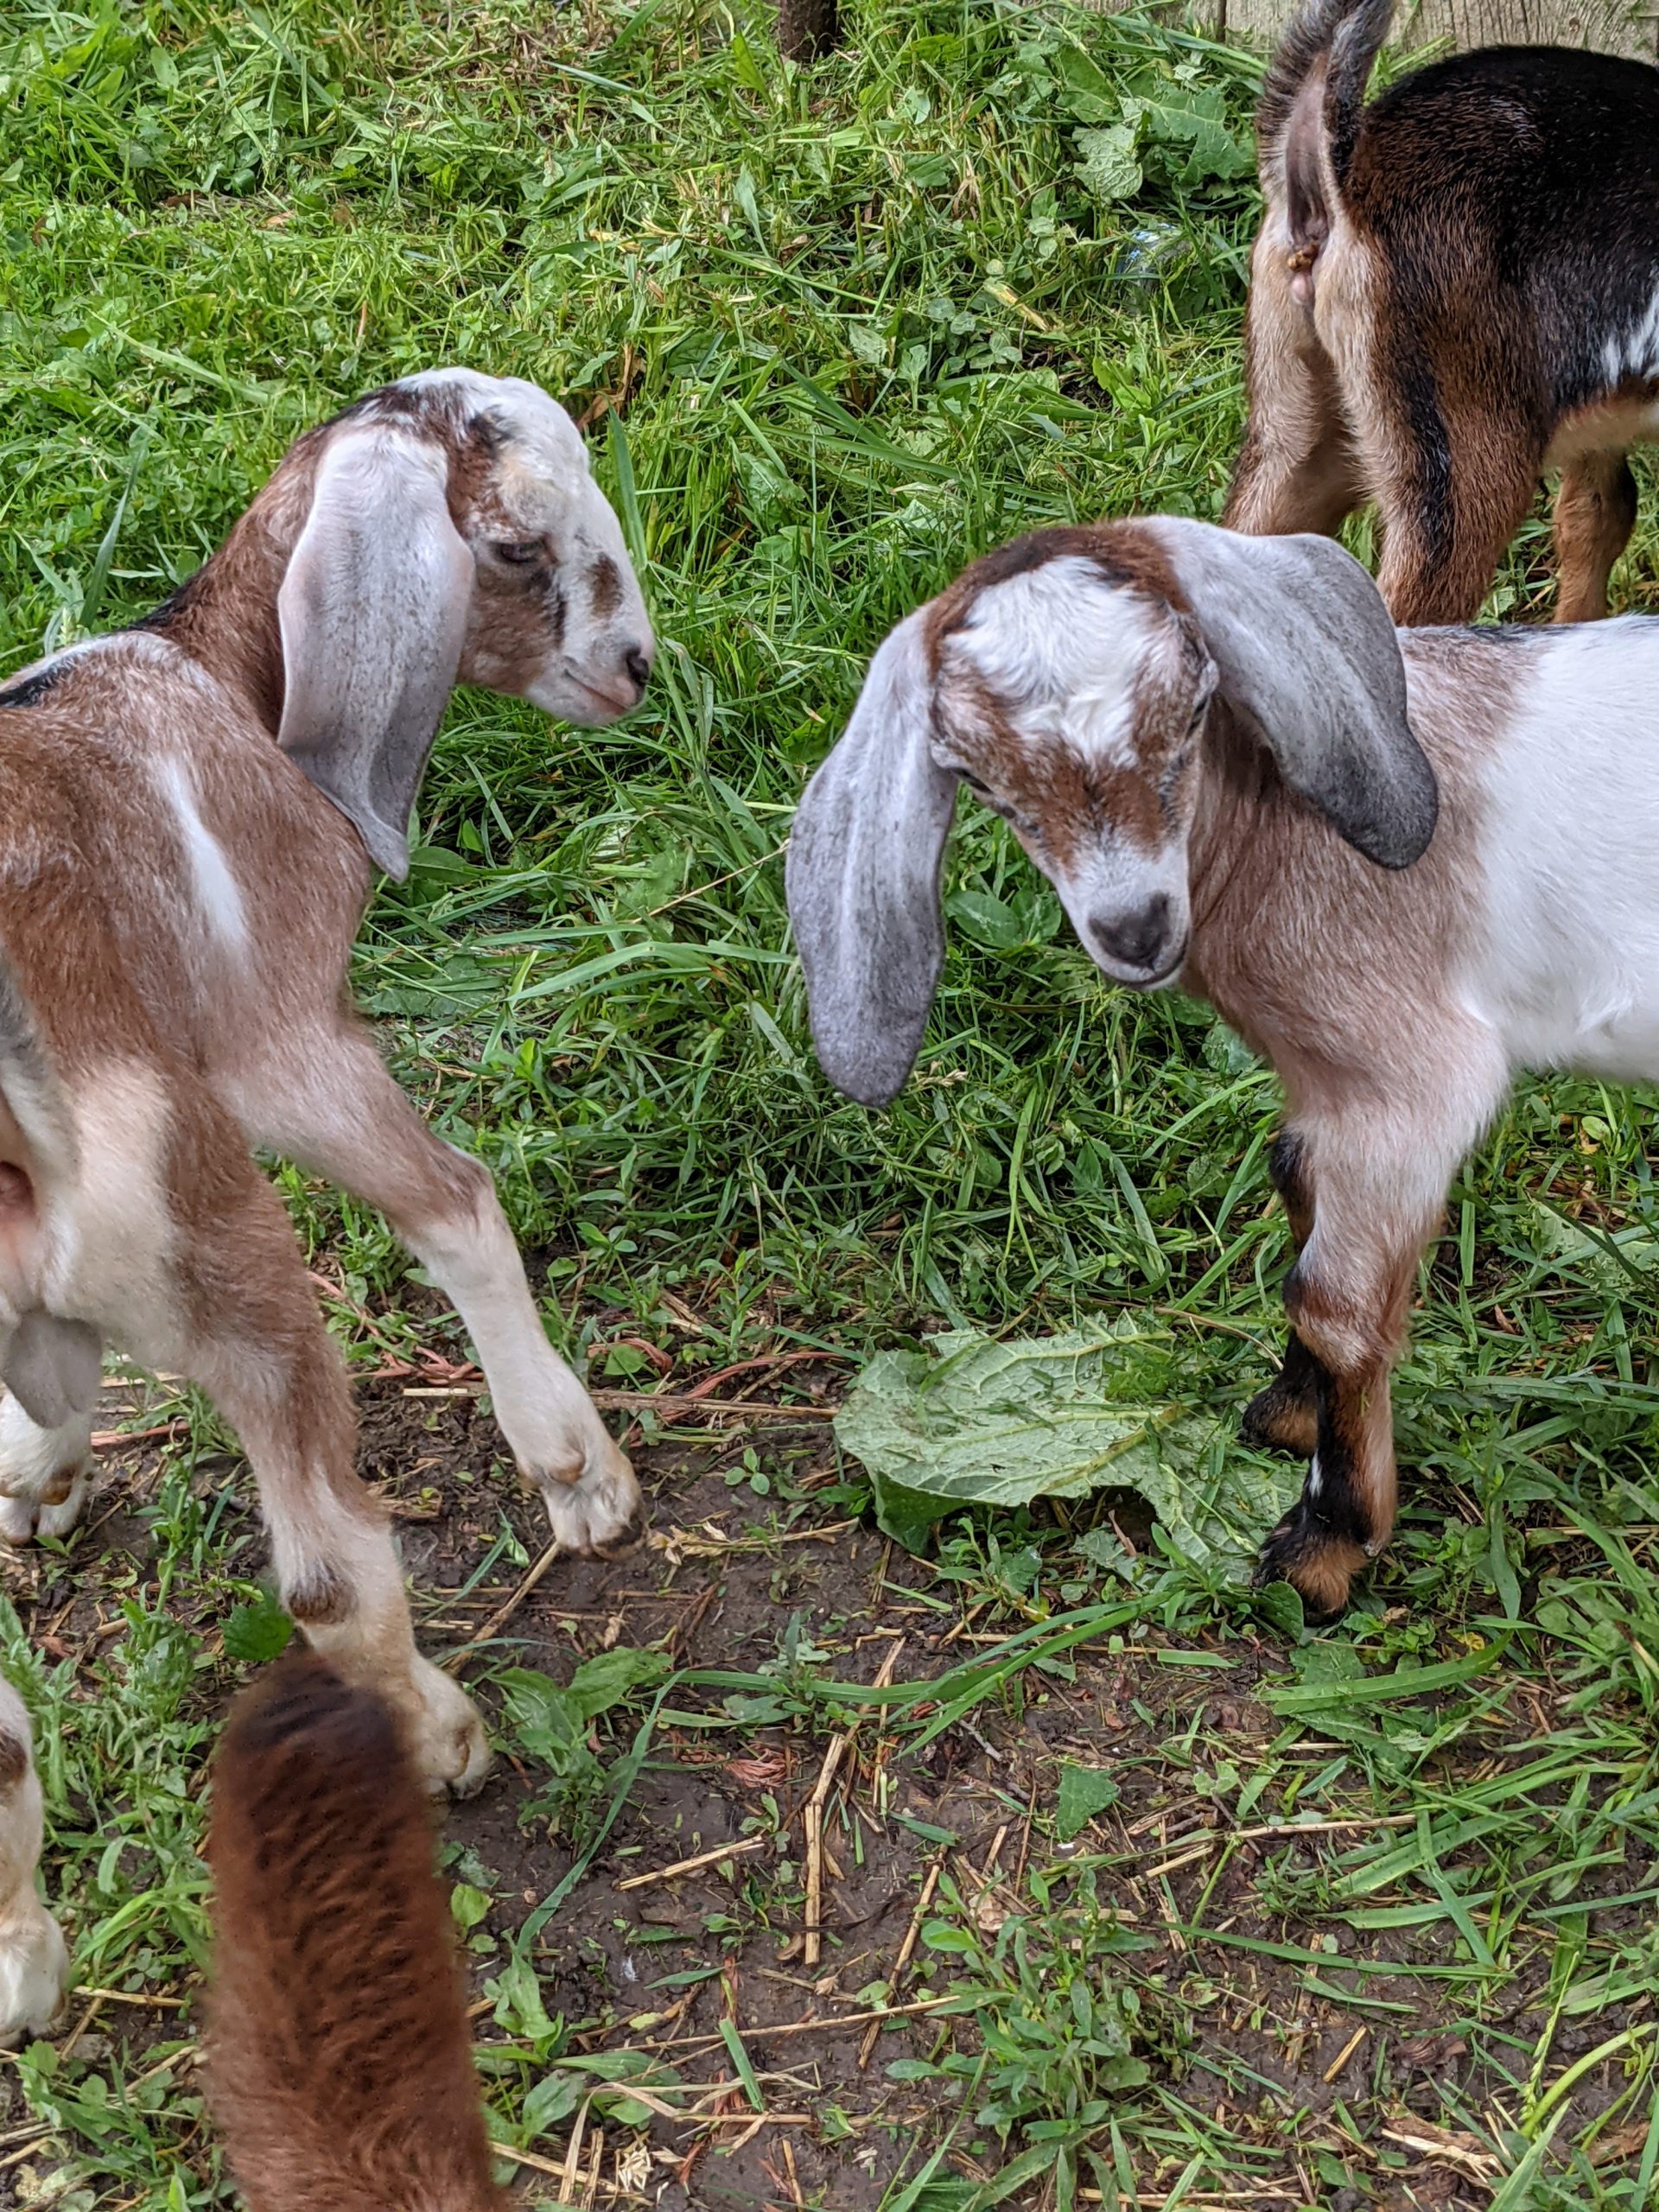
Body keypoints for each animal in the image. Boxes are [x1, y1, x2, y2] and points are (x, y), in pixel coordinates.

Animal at [0, 366, 654, 2035]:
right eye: (515, 544)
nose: (634, 666)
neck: (217, 682)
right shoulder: (279, 1043)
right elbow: (459, 1206)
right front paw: (574, 1467)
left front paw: (38, 1473)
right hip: (218, 1237)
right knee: (326, 1574)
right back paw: (438, 1736)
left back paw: (22, 1960)